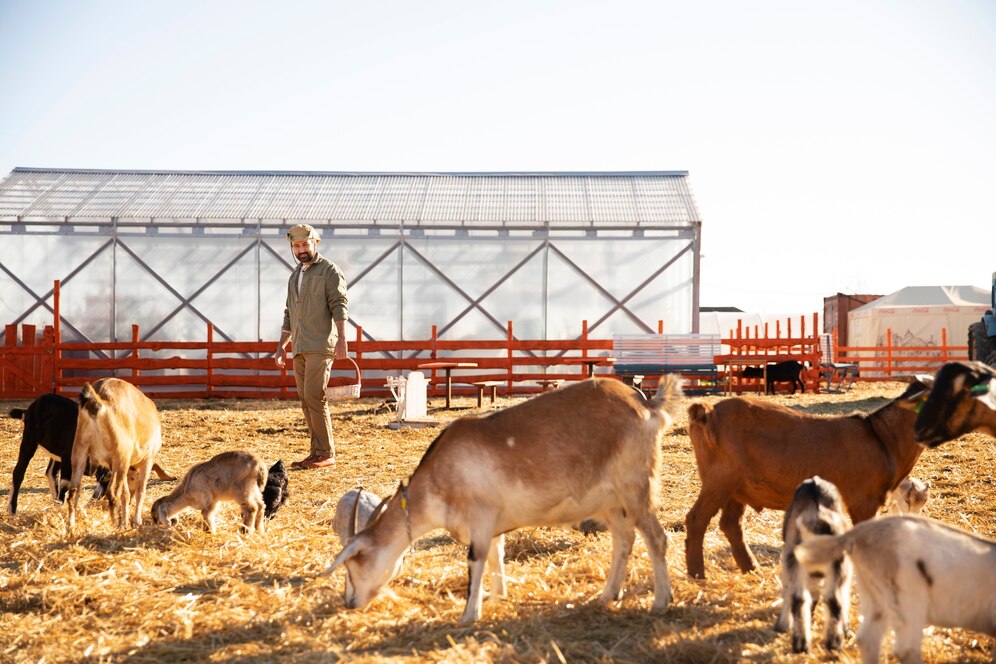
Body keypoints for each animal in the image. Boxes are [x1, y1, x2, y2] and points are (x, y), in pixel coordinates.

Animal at [65, 376, 161, 532]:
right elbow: (140, 491)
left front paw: (127, 522)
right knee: (113, 492)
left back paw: (71, 527)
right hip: (121, 456)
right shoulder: (147, 459)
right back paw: (116, 525)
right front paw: (136, 522)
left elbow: (126, 494)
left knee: (73, 491)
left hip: (80, 452)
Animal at [684, 382, 924, 580]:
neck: (883, 437)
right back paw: (698, 575)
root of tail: (709, 412)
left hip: (736, 488)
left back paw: (751, 569)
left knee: (731, 524)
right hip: (720, 480)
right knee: (697, 519)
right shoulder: (864, 502)